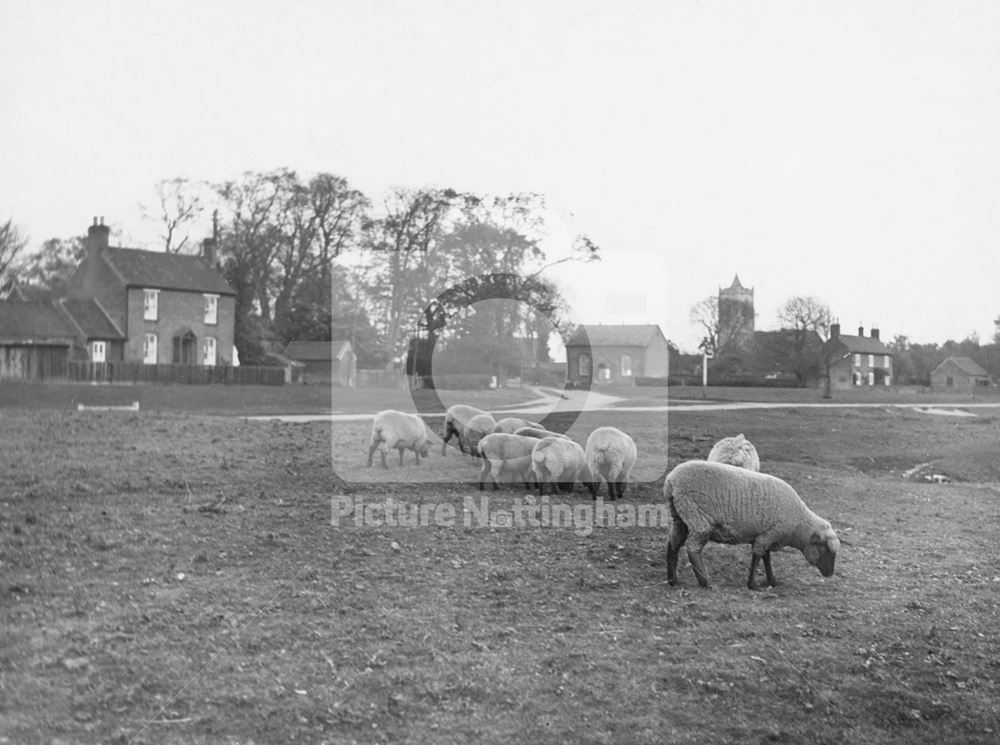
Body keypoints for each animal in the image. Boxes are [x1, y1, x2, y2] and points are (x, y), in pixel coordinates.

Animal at [668, 456, 840, 588]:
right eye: (824, 548)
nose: (830, 574)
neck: (798, 523)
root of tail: (671, 480)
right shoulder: (770, 534)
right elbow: (758, 556)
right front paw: (753, 585)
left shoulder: (767, 535)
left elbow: (766, 557)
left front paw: (772, 581)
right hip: (698, 517)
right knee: (693, 549)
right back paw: (705, 582)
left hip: (680, 517)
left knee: (673, 543)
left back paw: (672, 580)